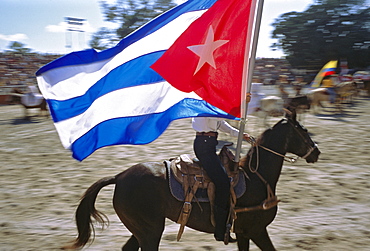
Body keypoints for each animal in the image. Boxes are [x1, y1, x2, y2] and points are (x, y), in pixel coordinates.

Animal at [63, 112, 318, 251]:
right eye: (304, 131)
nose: (317, 153)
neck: (256, 178)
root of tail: (120, 177)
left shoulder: (246, 234)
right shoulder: (255, 230)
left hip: (141, 229)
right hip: (150, 231)